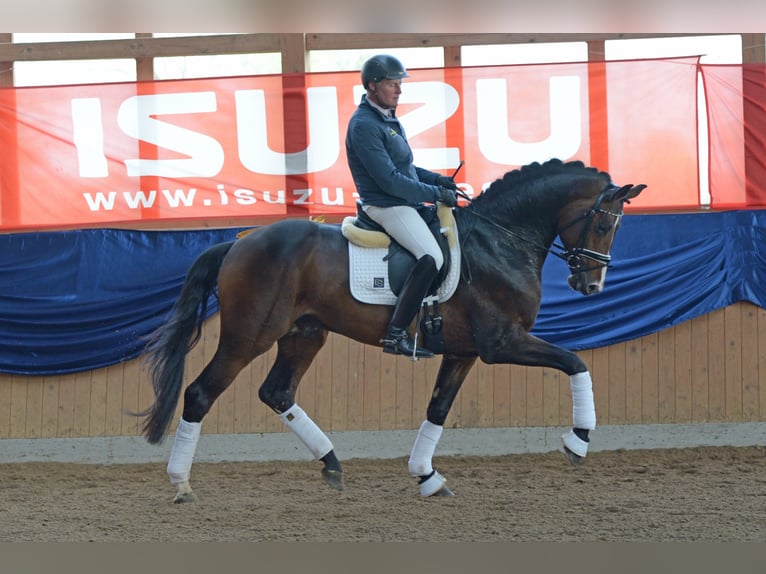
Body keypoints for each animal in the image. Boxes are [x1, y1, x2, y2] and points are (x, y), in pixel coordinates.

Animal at [140, 159, 648, 504]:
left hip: (305, 333)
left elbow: (438, 409)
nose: (592, 285)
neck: (498, 243)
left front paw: (426, 476)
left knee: (277, 392)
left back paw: (332, 464)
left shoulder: (462, 352)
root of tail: (238, 242)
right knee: (201, 393)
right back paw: (182, 484)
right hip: (250, 335)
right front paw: (577, 442)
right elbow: (575, 362)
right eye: (604, 223)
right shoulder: (501, 343)